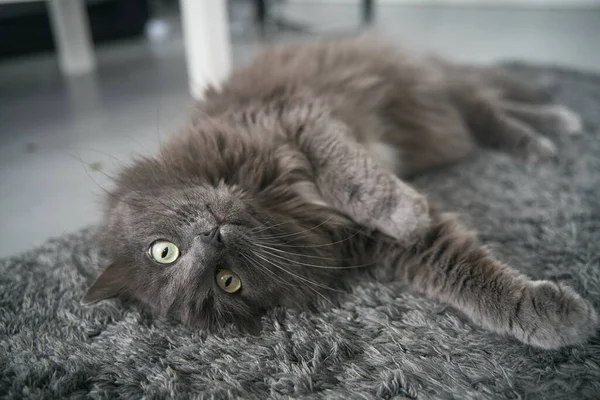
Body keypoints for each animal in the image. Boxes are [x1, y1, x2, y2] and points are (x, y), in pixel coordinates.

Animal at [83, 38, 596, 350]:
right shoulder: (363, 239)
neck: (278, 203)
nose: (213, 238)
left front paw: (406, 211)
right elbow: (463, 273)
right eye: (227, 281)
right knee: (485, 110)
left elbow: (351, 177)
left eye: (163, 250)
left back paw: (550, 131)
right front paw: (549, 317)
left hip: (430, 89)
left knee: (492, 107)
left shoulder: (297, 118)